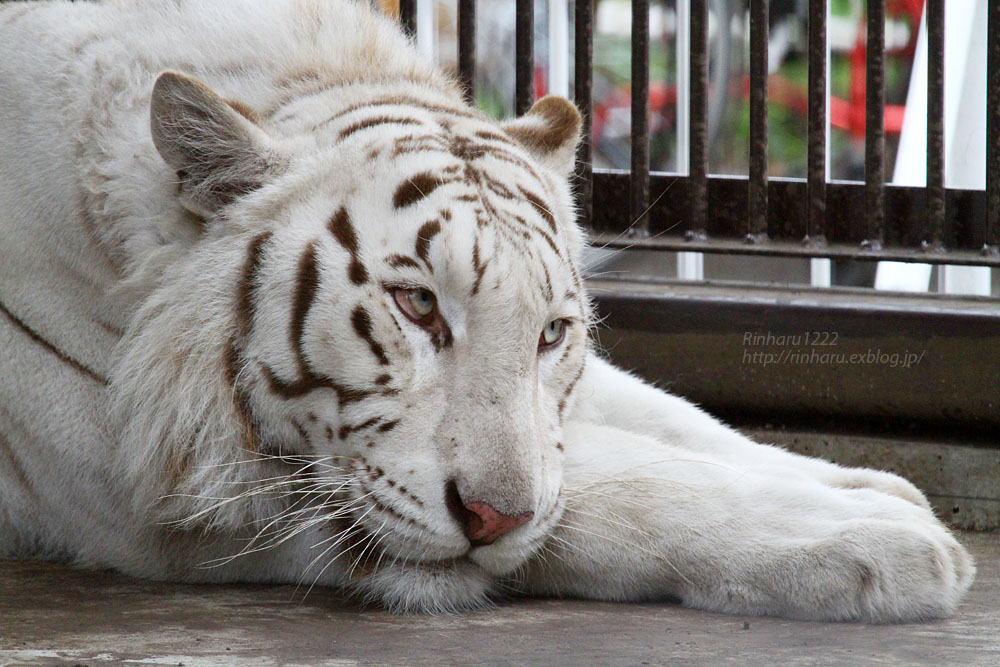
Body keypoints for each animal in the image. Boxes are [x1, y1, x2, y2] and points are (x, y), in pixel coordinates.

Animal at [0, 0, 968, 620]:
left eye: (551, 333)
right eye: (416, 304)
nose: (494, 519)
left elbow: (671, 419)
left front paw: (868, 486)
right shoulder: (167, 485)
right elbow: (612, 489)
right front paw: (883, 540)